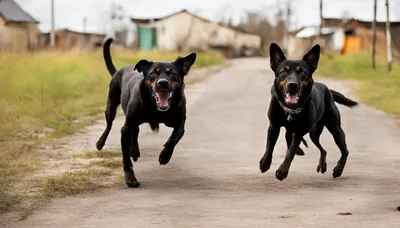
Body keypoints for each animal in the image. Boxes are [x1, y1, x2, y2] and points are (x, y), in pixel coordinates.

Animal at [97, 38, 197, 187]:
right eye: (153, 74)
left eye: (173, 73)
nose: (162, 83)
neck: (155, 108)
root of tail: (118, 71)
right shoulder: (126, 128)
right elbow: (125, 157)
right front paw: (130, 178)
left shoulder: (180, 124)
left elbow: (174, 138)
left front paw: (165, 156)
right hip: (112, 105)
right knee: (109, 125)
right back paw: (101, 143)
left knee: (136, 130)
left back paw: (135, 151)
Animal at [260, 42, 360, 182]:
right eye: (283, 71)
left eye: (302, 72)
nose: (292, 85)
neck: (291, 110)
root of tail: (328, 90)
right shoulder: (274, 126)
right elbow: (270, 146)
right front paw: (265, 163)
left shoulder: (299, 131)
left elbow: (290, 152)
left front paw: (282, 171)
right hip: (313, 133)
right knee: (321, 149)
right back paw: (321, 164)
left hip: (334, 129)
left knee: (344, 150)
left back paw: (338, 170)